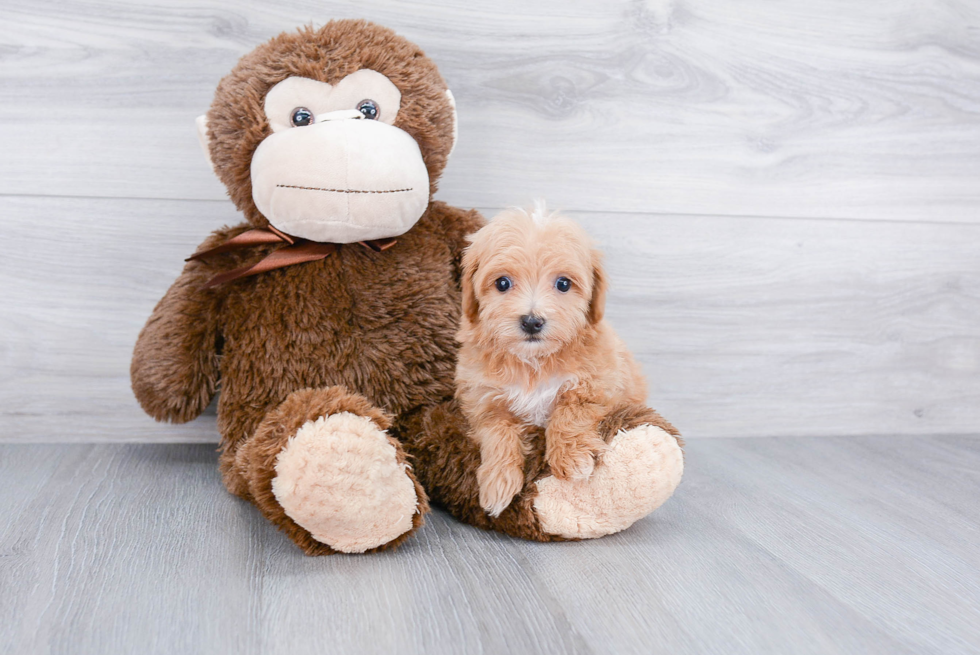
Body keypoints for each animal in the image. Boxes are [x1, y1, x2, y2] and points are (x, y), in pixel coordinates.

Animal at [456, 205, 648, 516]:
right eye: (502, 283)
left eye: (563, 284)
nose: (532, 321)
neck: (534, 362)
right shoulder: (483, 399)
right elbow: (497, 432)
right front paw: (498, 481)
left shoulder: (598, 383)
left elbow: (570, 413)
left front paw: (572, 460)